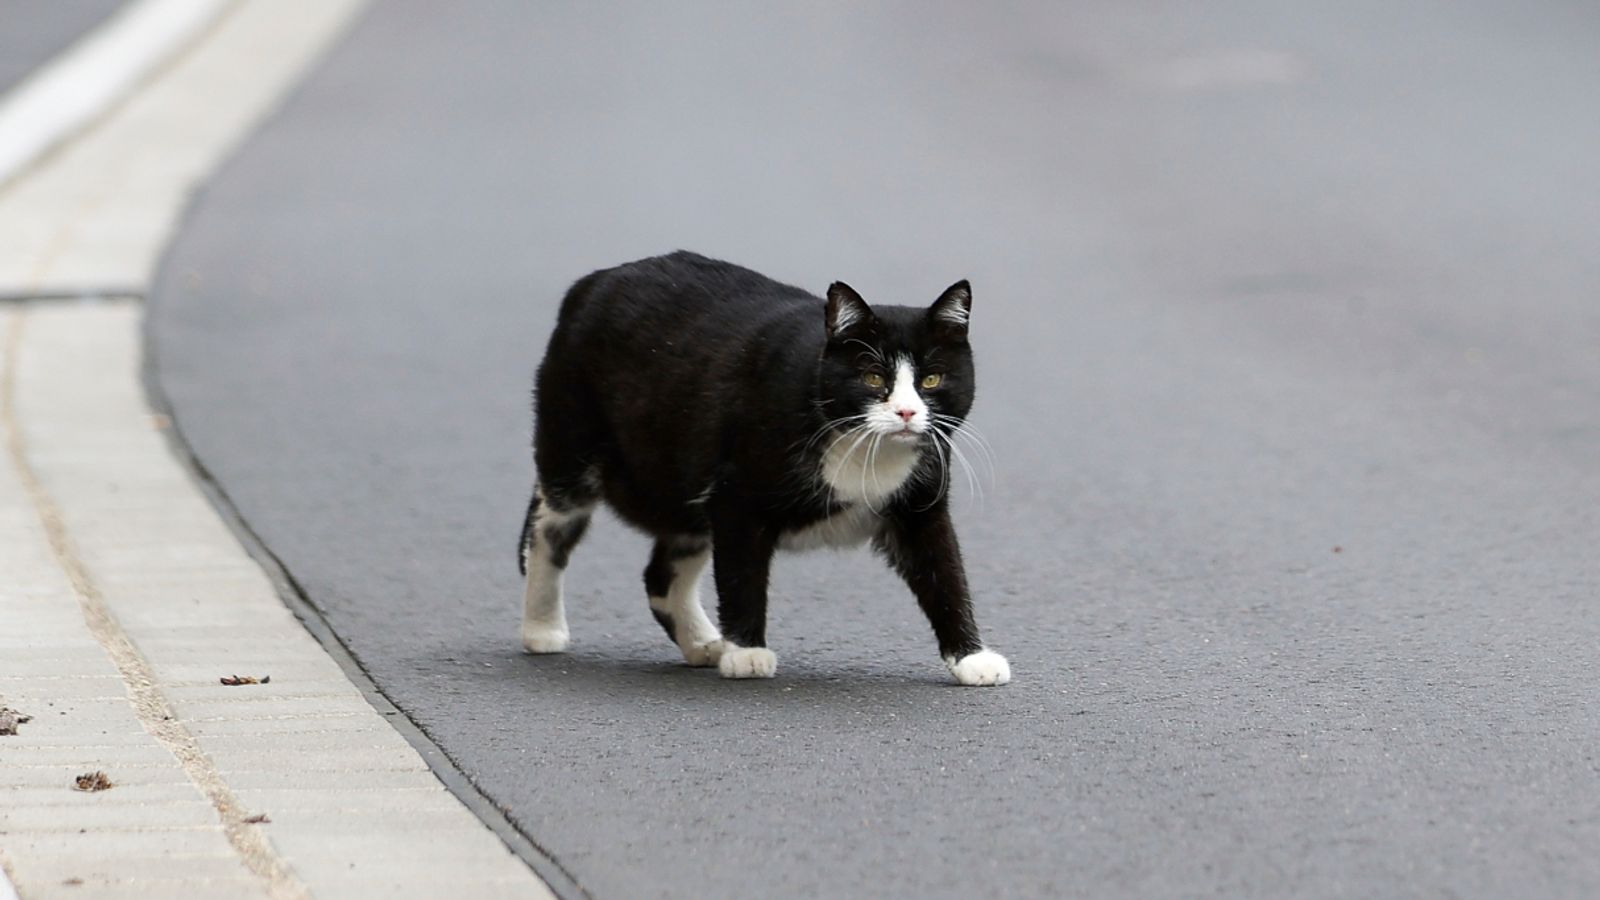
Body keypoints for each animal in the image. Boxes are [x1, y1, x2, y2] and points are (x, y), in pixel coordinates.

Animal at [518, 248, 1004, 682]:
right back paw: (542, 629)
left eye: (932, 379)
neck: (863, 450)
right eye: (873, 377)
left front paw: (972, 658)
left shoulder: (920, 507)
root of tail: (593, 280)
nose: (906, 412)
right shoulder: (737, 497)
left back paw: (702, 643)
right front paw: (747, 654)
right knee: (548, 529)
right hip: (574, 443)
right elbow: (742, 576)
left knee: (661, 571)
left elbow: (945, 573)